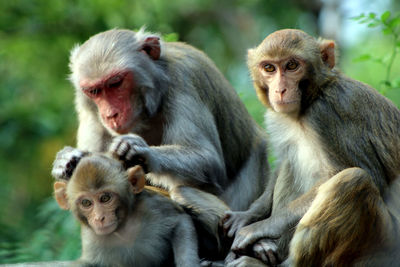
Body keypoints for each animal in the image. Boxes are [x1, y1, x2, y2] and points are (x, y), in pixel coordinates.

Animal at [54, 153, 200, 267]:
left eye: (105, 198)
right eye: (86, 202)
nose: (99, 218)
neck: (122, 228)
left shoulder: (152, 205)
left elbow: (181, 221)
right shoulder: (91, 238)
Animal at [223, 28, 400, 266]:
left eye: (292, 65)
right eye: (269, 68)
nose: (280, 90)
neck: (312, 99)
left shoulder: (328, 113)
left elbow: (367, 175)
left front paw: (260, 227)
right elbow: (283, 163)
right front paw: (249, 215)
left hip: (382, 245)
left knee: (352, 181)